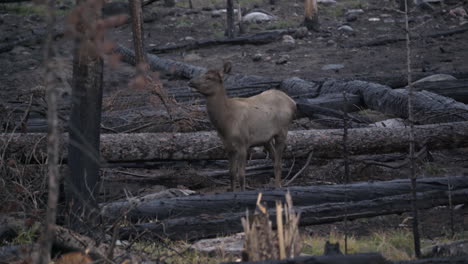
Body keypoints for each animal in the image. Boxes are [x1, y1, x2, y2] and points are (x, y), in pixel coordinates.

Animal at [187, 64, 294, 192]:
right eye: (202, 73)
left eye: (209, 78)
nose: (190, 81)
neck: (225, 124)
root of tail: (292, 102)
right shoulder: (228, 146)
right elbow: (231, 173)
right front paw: (232, 190)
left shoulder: (243, 143)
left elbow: (241, 175)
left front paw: (242, 191)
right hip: (266, 139)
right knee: (274, 158)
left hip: (282, 131)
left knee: (279, 162)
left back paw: (278, 186)